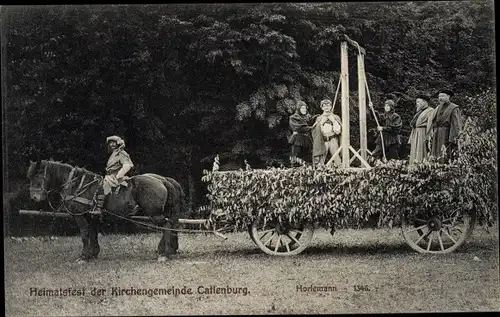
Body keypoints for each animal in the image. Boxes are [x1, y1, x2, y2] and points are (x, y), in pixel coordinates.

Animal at [26, 160, 186, 262]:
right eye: (30, 177)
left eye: (38, 176)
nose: (34, 197)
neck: (76, 184)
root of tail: (162, 180)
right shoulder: (91, 216)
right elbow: (93, 234)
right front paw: (93, 254)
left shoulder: (80, 215)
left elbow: (84, 234)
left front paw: (84, 256)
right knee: (172, 226)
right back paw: (168, 250)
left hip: (154, 213)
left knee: (166, 226)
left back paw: (165, 254)